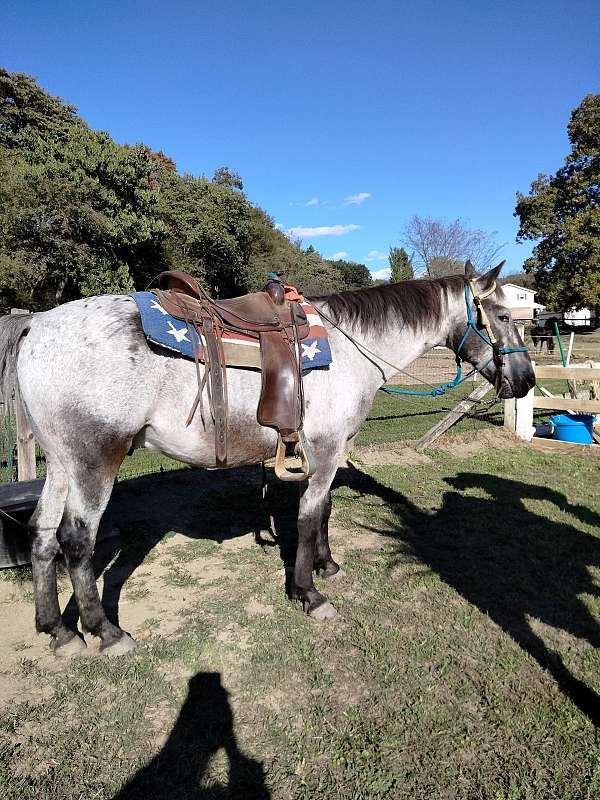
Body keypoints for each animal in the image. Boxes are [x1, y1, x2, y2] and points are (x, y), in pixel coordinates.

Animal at [0, 262, 536, 656]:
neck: (349, 348)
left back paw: (58, 630)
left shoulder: (323, 451)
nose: (527, 381)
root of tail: (36, 324)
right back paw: (105, 632)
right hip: (94, 462)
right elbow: (309, 515)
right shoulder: (326, 448)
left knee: (41, 534)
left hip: (62, 464)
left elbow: (321, 510)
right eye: (503, 316)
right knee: (75, 540)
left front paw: (326, 565)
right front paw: (309, 593)